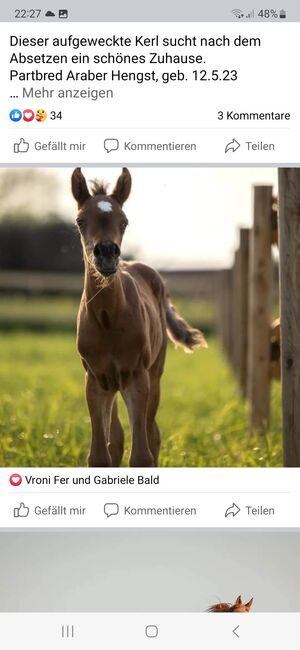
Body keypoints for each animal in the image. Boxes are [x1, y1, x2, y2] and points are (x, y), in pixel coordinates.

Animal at [72, 165, 207, 464]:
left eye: (124, 221)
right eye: (80, 221)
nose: (107, 253)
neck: (108, 319)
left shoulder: (137, 377)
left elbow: (142, 455)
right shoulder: (95, 380)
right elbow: (100, 455)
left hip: (154, 375)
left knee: (152, 433)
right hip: (112, 385)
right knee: (117, 438)